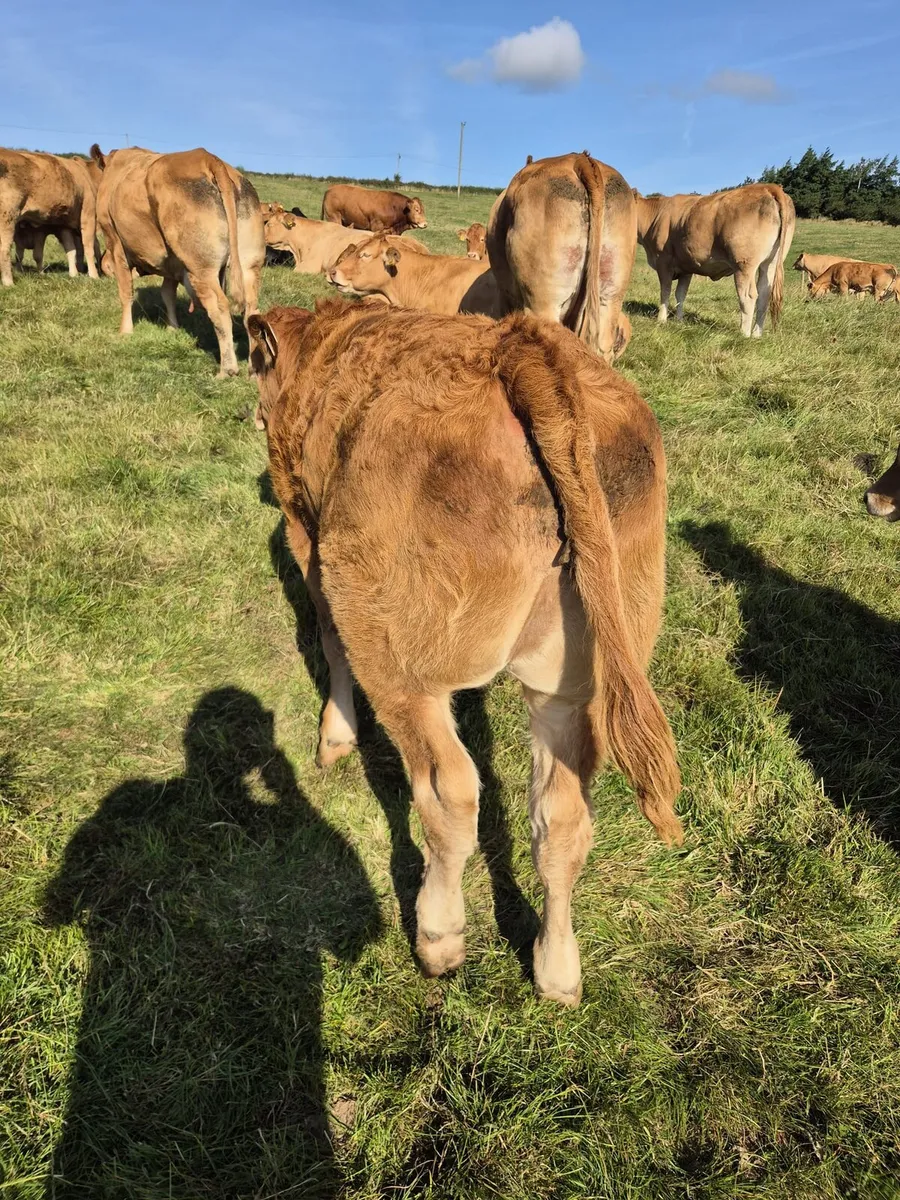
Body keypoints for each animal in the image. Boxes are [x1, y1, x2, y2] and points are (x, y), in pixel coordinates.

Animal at [0, 149, 100, 286]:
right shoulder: (88, 213)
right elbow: (89, 246)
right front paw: (94, 276)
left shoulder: (64, 225)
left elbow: (71, 249)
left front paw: (74, 274)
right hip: (7, 216)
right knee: (4, 249)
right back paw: (8, 283)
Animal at [90, 144, 265, 378]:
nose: (104, 264)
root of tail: (210, 159)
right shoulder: (173, 262)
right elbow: (167, 293)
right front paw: (172, 328)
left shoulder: (115, 242)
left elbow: (126, 292)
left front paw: (125, 332)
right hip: (249, 264)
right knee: (251, 310)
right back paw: (253, 369)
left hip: (201, 268)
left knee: (220, 308)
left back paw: (227, 369)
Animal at [248, 297, 683, 1004]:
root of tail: (521, 345)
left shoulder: (305, 531)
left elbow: (328, 640)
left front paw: (335, 736)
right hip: (574, 676)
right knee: (562, 816)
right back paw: (556, 970)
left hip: (403, 656)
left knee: (449, 790)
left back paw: (439, 937)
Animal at [633, 184, 795, 336]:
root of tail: (768, 187)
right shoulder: (686, 267)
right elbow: (680, 294)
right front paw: (679, 320)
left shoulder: (663, 261)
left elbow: (665, 291)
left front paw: (661, 320)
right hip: (770, 262)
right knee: (764, 295)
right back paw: (756, 334)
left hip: (744, 264)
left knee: (748, 296)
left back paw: (744, 334)